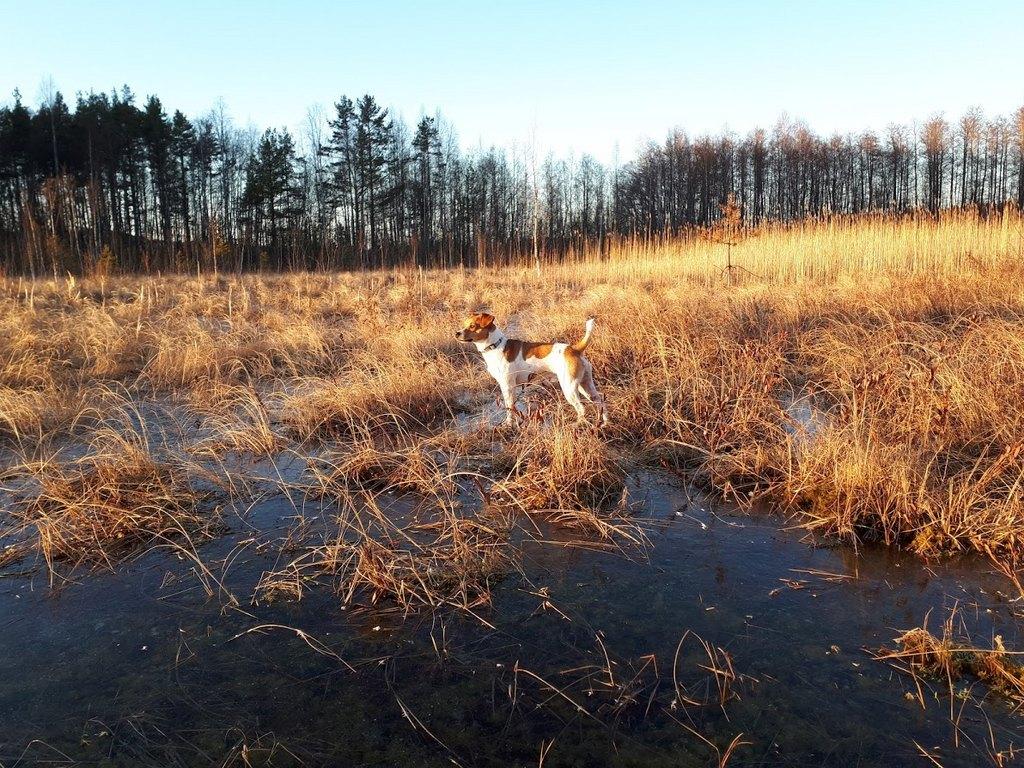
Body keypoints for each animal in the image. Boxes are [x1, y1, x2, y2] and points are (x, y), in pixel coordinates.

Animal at [455, 313, 608, 426]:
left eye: (472, 326)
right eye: (464, 325)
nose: (457, 333)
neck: (495, 345)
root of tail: (574, 349)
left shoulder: (507, 386)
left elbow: (509, 407)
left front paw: (508, 424)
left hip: (569, 388)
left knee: (581, 409)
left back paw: (577, 425)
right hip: (585, 385)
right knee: (600, 401)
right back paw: (605, 422)